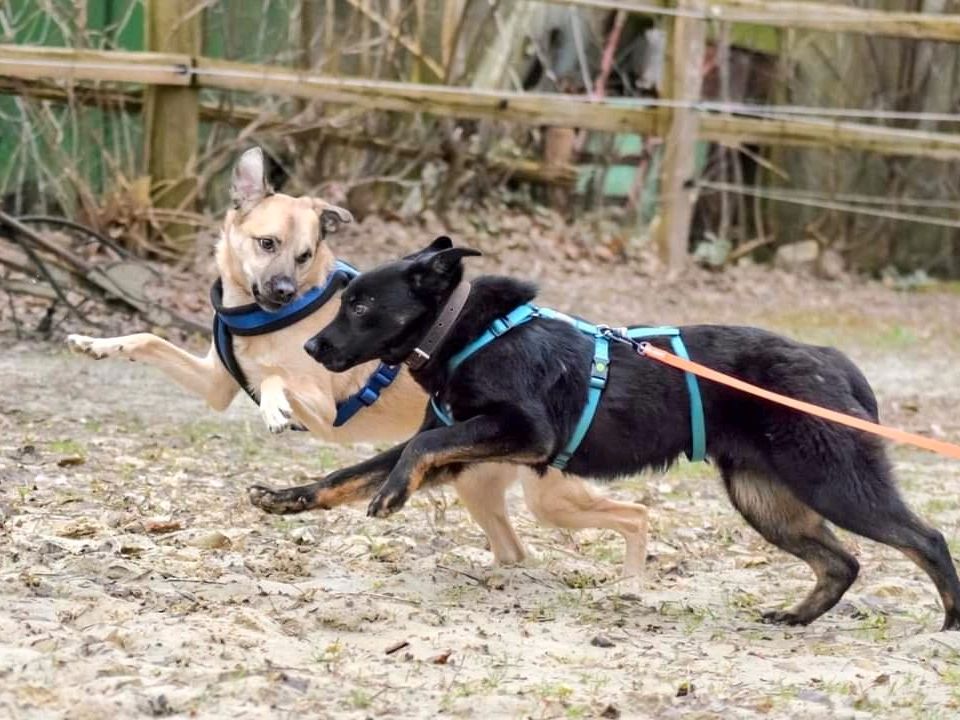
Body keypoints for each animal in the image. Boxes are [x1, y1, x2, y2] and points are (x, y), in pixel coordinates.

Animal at [69, 148, 652, 580]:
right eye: (267, 243)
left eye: (304, 255)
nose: (282, 291)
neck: (261, 317)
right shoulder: (217, 383)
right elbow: (148, 339)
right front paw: (93, 342)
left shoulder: (324, 409)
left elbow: (279, 379)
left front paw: (275, 409)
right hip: (478, 483)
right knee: (513, 549)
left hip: (552, 496)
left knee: (635, 515)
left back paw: (631, 578)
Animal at [253, 238, 960, 632]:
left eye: (361, 306)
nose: (311, 347)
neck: (466, 330)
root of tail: (833, 359)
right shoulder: (464, 438)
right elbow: (348, 473)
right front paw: (289, 498)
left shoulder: (523, 431)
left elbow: (411, 457)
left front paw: (393, 493)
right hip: (765, 498)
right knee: (843, 561)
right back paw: (796, 616)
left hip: (834, 481)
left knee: (925, 538)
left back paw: (951, 621)